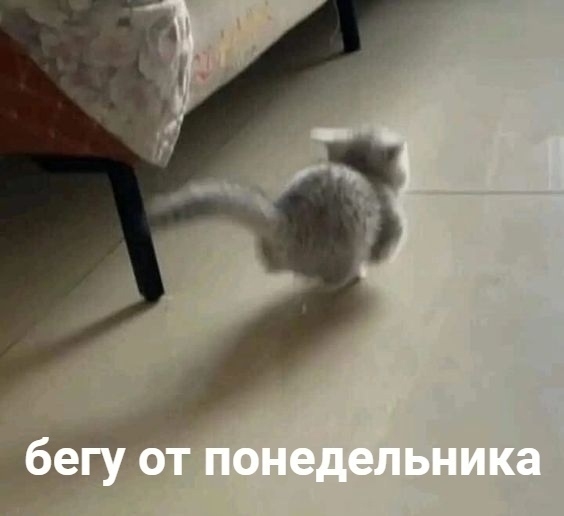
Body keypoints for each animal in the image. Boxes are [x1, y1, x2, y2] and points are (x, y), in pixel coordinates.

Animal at [148, 126, 410, 289]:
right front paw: (378, 259)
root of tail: (282, 219)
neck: (361, 170)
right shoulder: (390, 220)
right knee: (332, 278)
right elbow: (388, 244)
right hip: (347, 243)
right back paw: (352, 276)